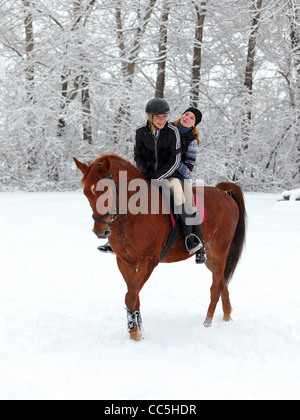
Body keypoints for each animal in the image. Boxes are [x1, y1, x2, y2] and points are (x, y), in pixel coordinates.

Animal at [74, 154, 246, 342]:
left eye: (106, 191)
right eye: (86, 193)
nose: (100, 231)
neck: (132, 214)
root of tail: (223, 193)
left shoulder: (148, 262)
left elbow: (130, 297)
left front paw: (134, 334)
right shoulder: (124, 262)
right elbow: (135, 297)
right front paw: (139, 330)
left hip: (219, 252)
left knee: (215, 287)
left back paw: (206, 324)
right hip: (211, 258)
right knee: (221, 282)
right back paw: (227, 317)